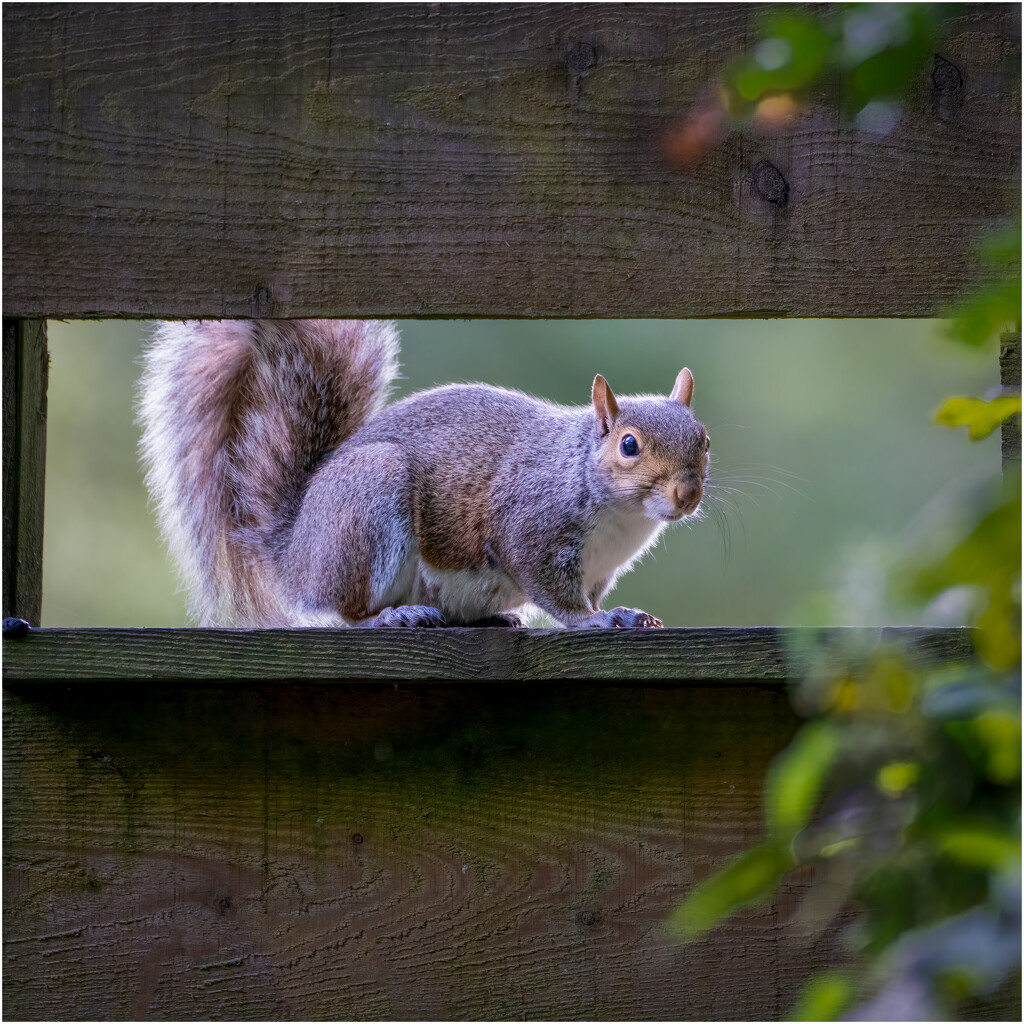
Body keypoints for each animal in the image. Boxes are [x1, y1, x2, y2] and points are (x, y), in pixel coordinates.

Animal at [140, 319, 708, 626]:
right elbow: (558, 597)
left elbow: (591, 593)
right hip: (368, 505)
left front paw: (625, 612)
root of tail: (296, 551)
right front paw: (594, 620)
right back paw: (392, 616)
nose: (686, 494)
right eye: (628, 445)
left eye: (703, 440)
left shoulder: (599, 569)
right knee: (345, 611)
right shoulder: (530, 527)